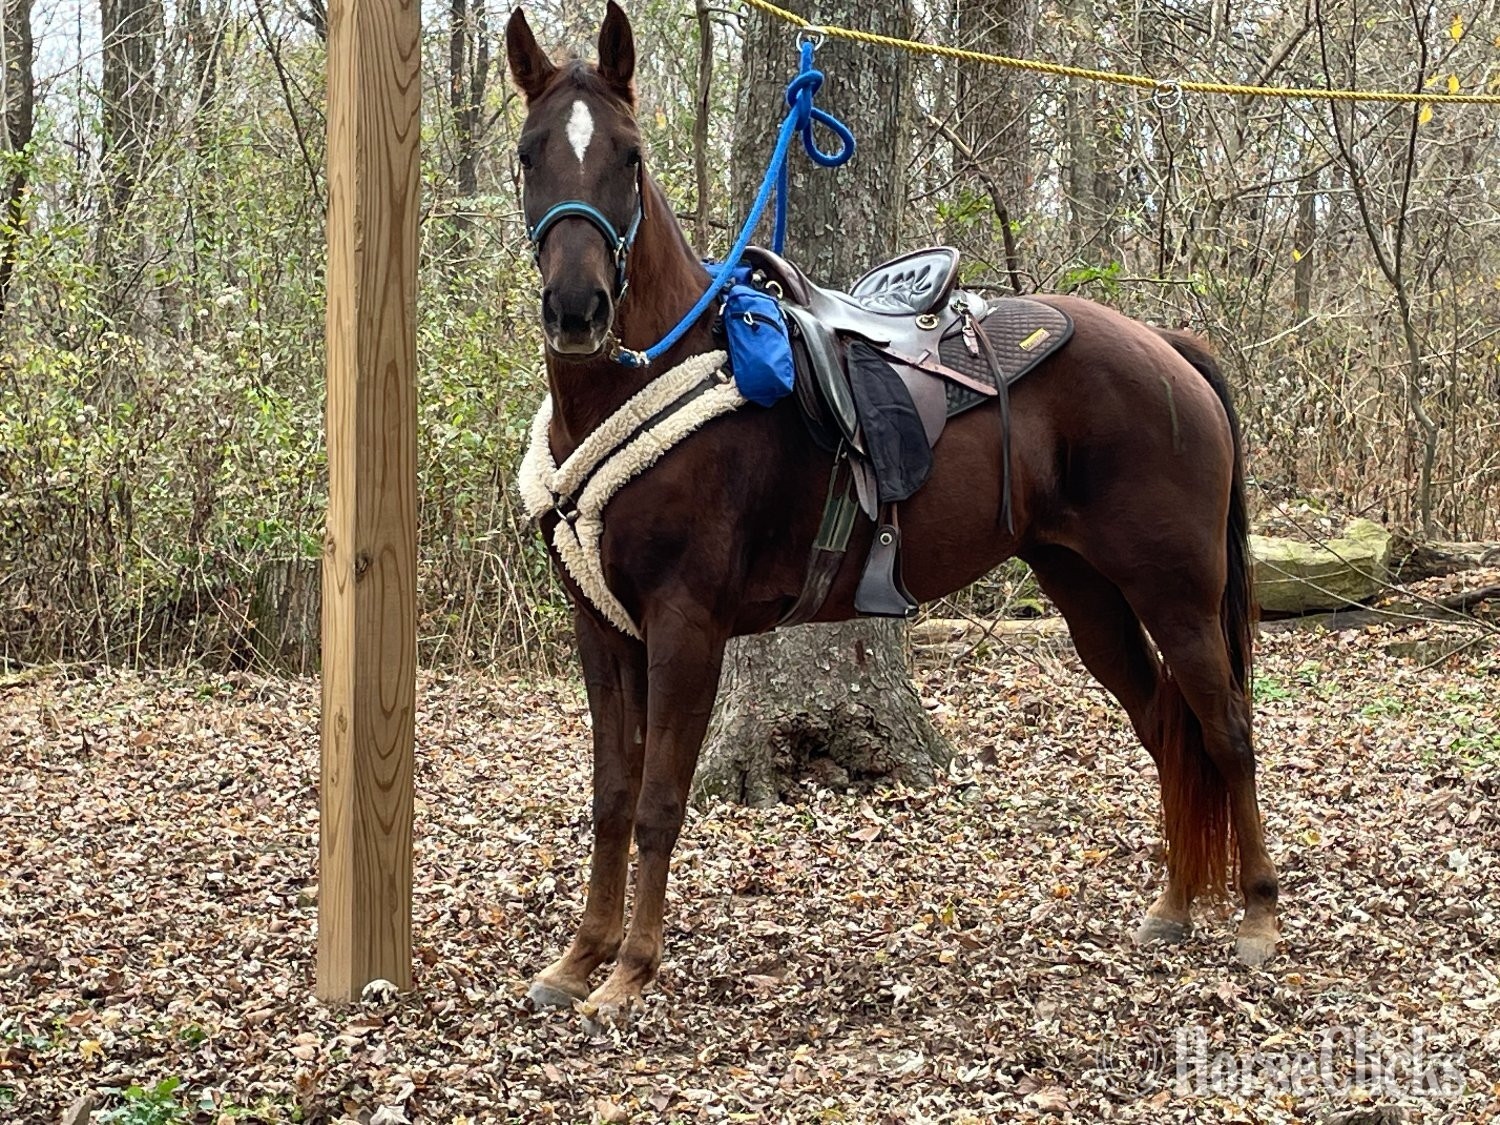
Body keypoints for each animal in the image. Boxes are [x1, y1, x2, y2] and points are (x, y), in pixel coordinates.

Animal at [506, 2, 1280, 1026]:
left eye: (629, 156)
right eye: (528, 154)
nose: (577, 309)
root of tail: (1170, 350)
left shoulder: (685, 626)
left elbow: (661, 800)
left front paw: (631, 969)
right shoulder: (601, 628)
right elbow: (610, 793)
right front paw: (579, 956)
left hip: (1178, 594)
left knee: (1226, 730)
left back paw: (1259, 917)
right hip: (1089, 593)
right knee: (1165, 724)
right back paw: (1175, 904)